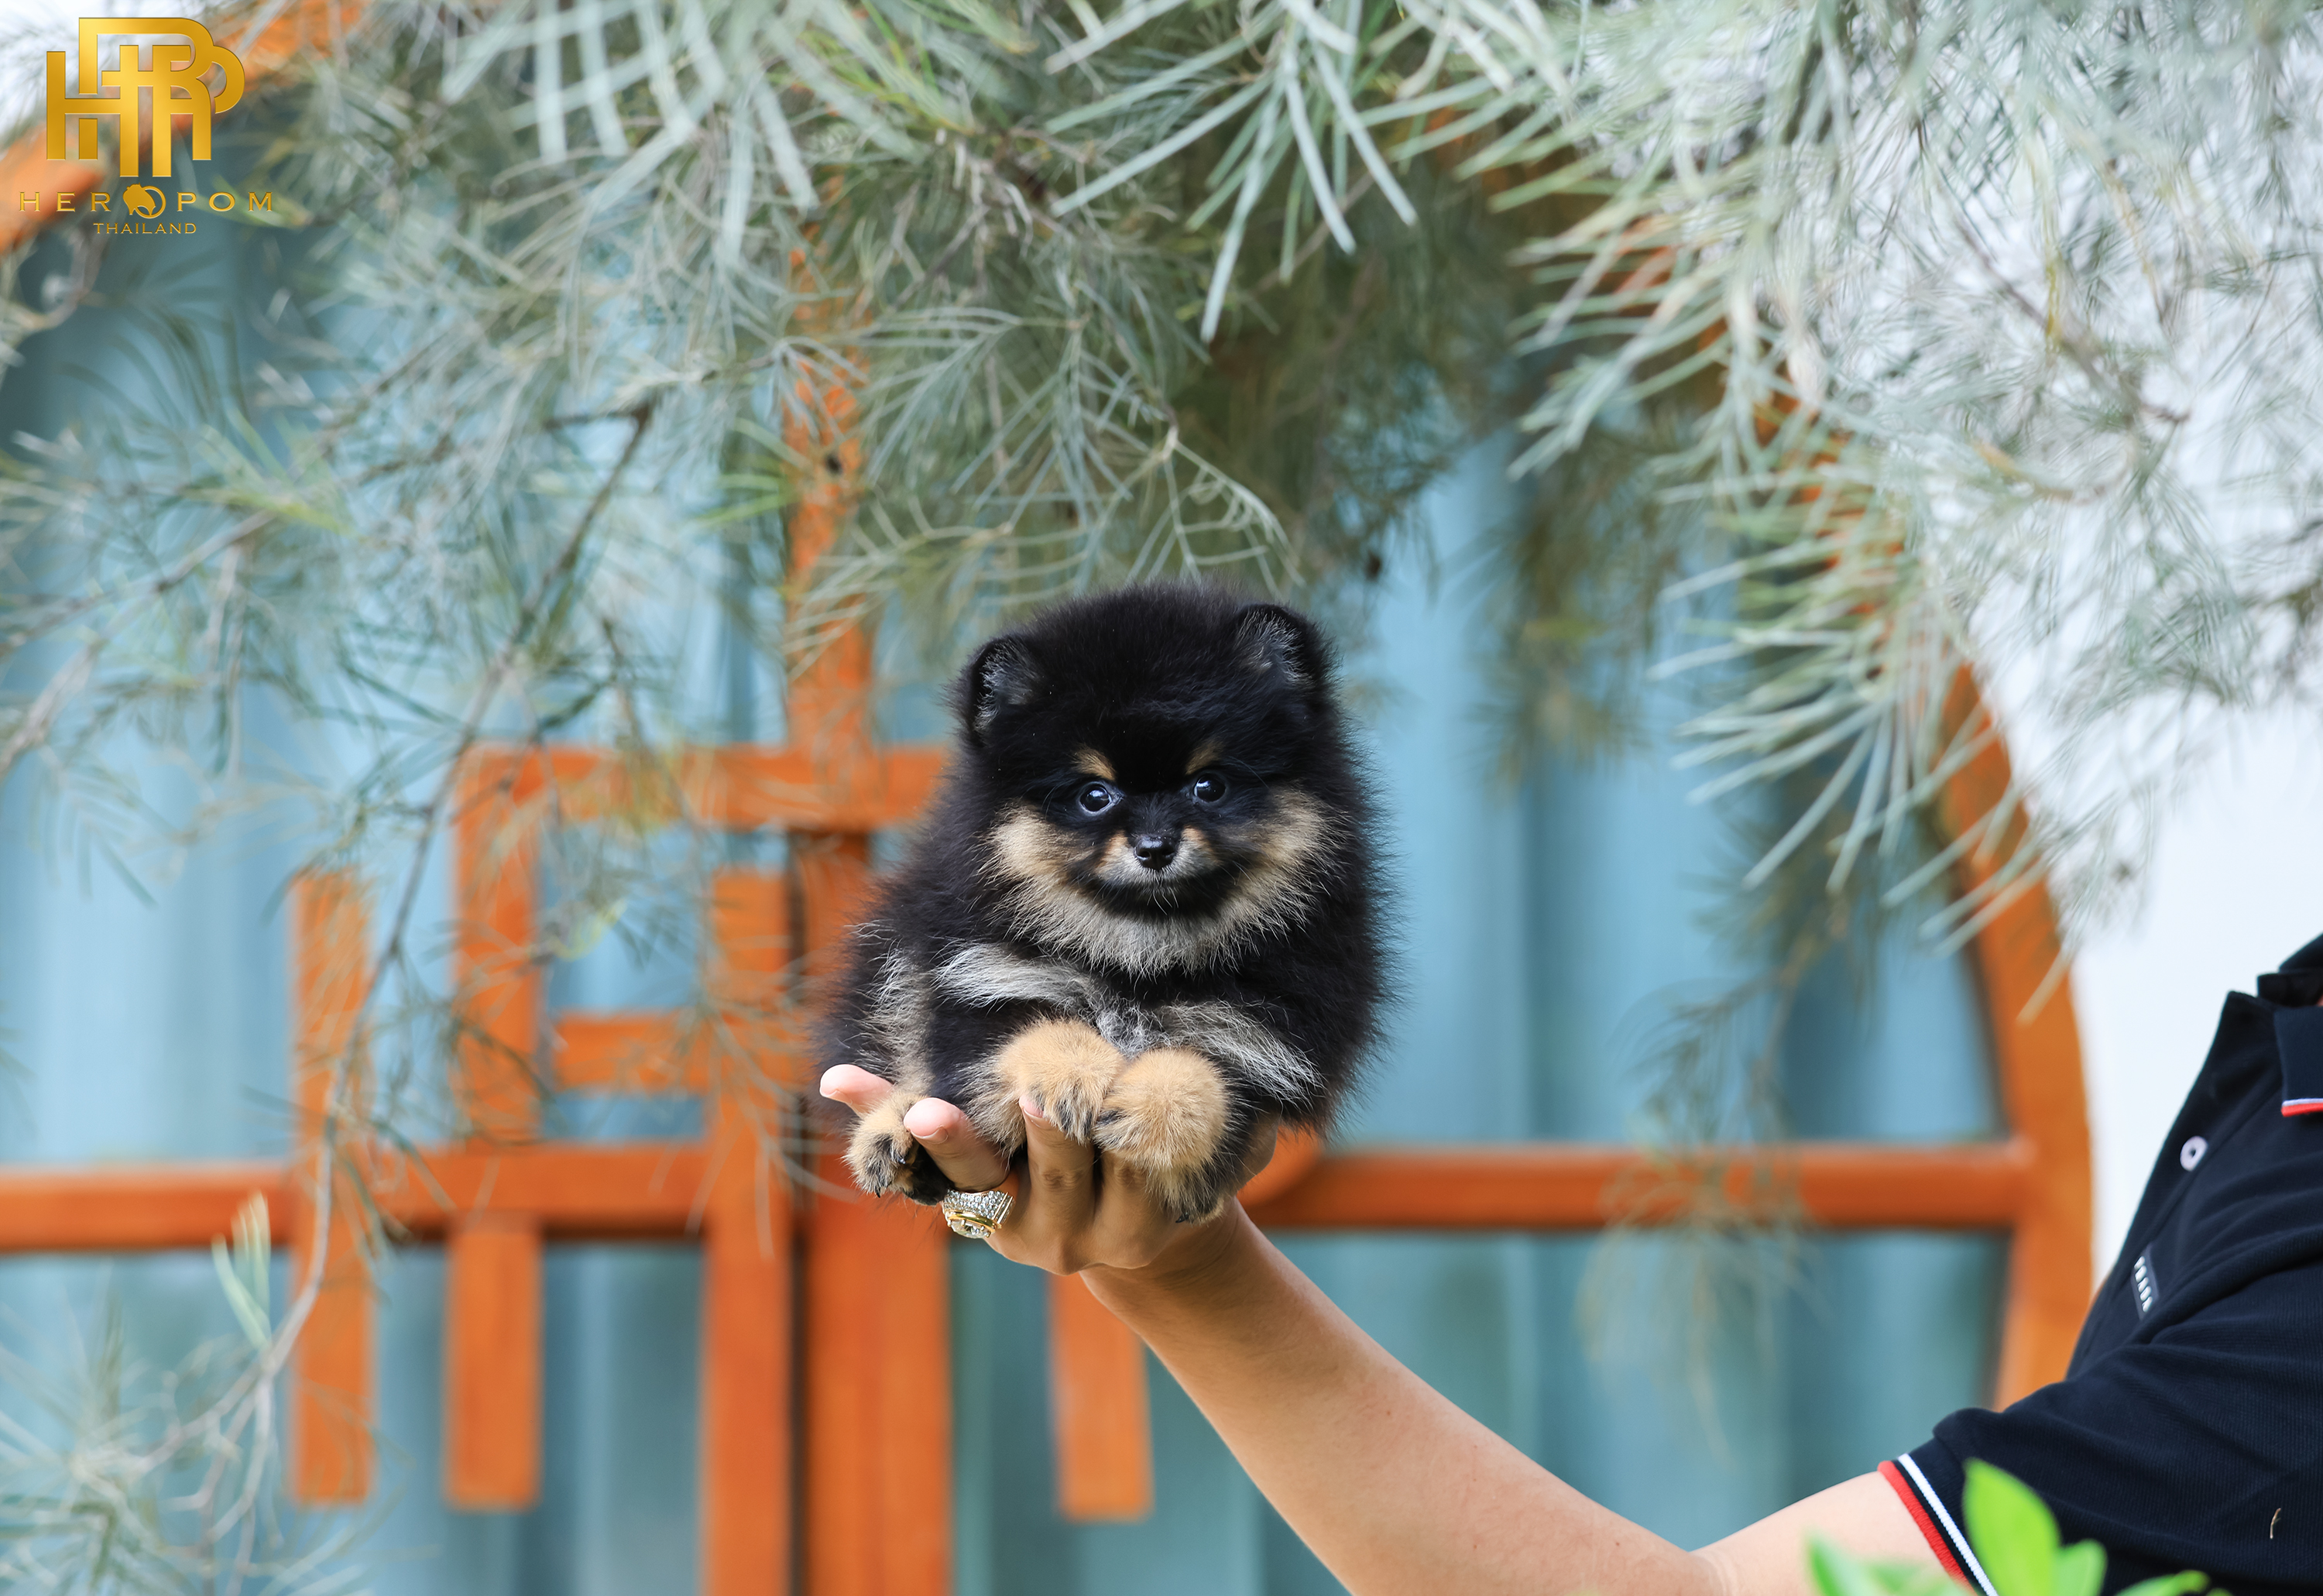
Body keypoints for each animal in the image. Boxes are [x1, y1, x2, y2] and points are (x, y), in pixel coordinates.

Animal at [821, 585, 1386, 1221]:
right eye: (1095, 795)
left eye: (1209, 786)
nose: (1155, 846)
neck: (1137, 950)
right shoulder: (982, 975)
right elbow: (1028, 1026)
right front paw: (1069, 1074)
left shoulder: (1271, 1034)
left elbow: (1212, 1074)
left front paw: (1153, 1106)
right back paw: (894, 1134)